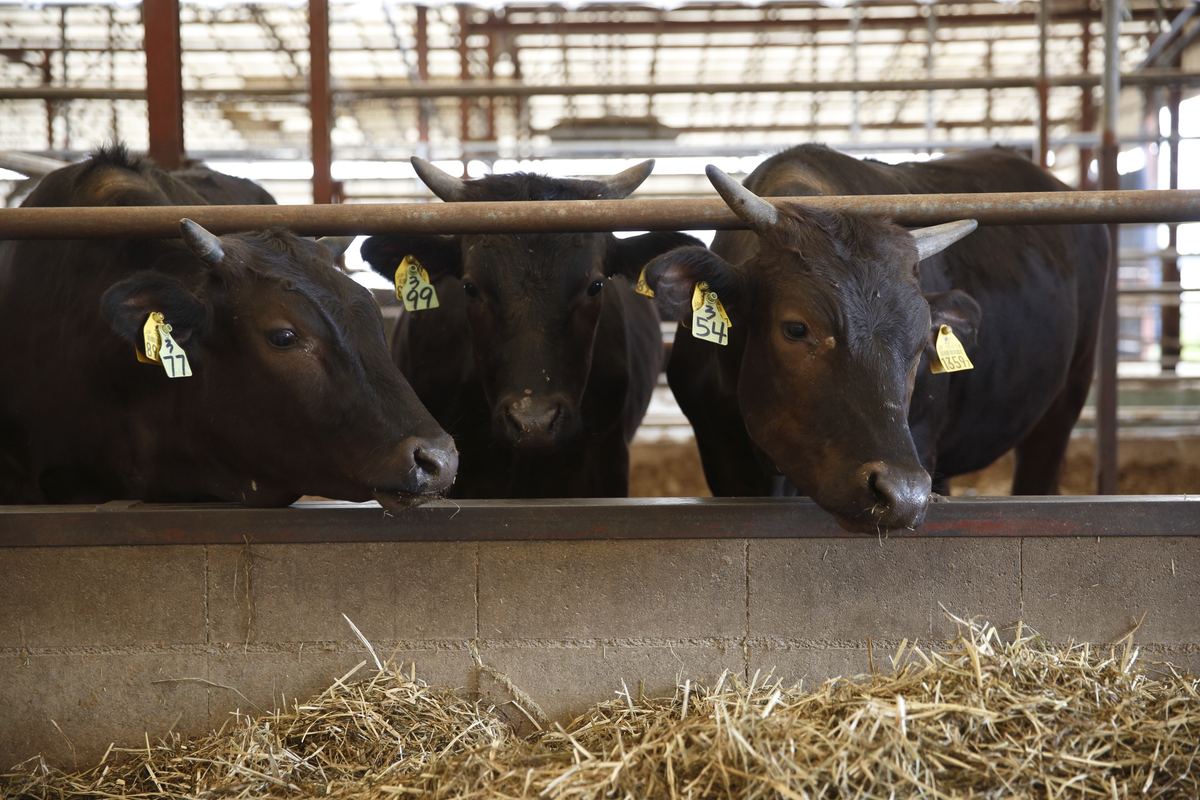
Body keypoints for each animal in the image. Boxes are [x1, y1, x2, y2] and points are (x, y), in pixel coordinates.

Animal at [641, 145, 1109, 532]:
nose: (901, 495)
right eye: (796, 328)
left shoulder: (921, 442)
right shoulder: (721, 451)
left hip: (1066, 398)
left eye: (921, 345)